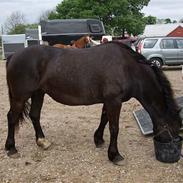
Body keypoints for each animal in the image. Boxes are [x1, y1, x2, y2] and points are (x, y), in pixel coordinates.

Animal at [5, 42, 181, 165]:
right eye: (173, 129)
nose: (175, 152)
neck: (128, 68)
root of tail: (13, 56)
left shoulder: (110, 101)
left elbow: (104, 119)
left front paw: (98, 139)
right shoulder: (114, 101)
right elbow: (114, 128)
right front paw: (115, 155)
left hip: (38, 93)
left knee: (34, 115)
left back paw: (42, 142)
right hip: (20, 97)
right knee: (12, 117)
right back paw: (11, 148)